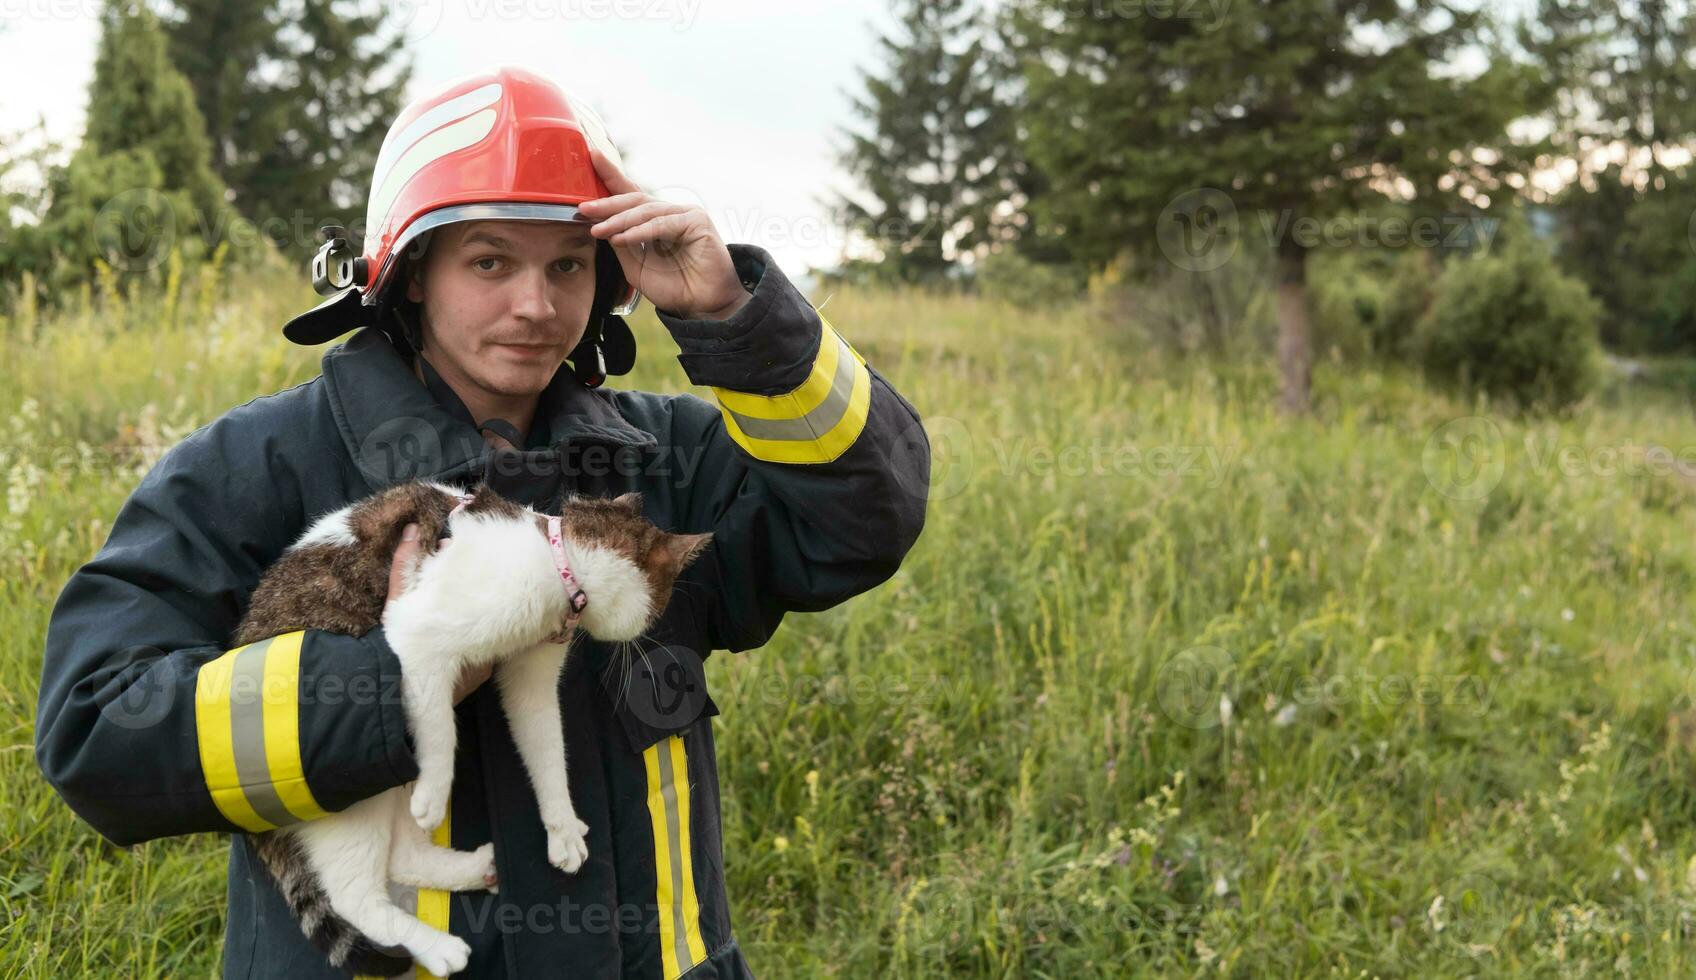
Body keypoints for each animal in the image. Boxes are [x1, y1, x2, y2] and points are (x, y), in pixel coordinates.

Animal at [230, 478, 708, 969]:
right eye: (662, 602)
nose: (647, 634)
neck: (557, 554)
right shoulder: (414, 636)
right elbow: (441, 727)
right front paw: (437, 789)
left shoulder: (530, 676)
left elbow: (547, 750)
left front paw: (561, 826)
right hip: (348, 798)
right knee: (354, 897)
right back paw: (438, 947)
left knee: (401, 857)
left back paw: (477, 869)